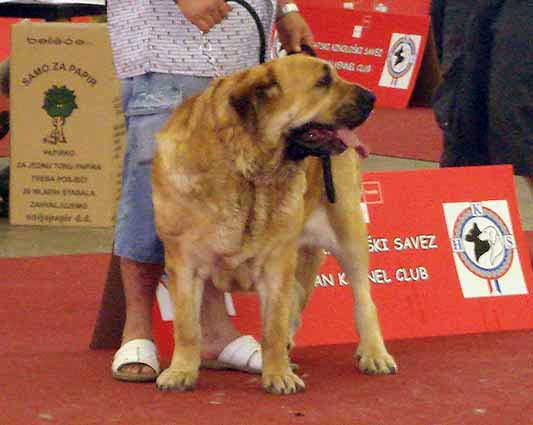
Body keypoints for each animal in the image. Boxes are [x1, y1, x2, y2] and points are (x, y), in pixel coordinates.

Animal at [152, 53, 396, 394]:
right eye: (323, 81)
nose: (372, 97)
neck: (245, 169)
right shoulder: (183, 263)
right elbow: (187, 326)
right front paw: (181, 371)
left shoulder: (277, 263)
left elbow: (274, 327)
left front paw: (278, 374)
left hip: (348, 231)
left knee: (363, 298)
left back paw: (374, 353)